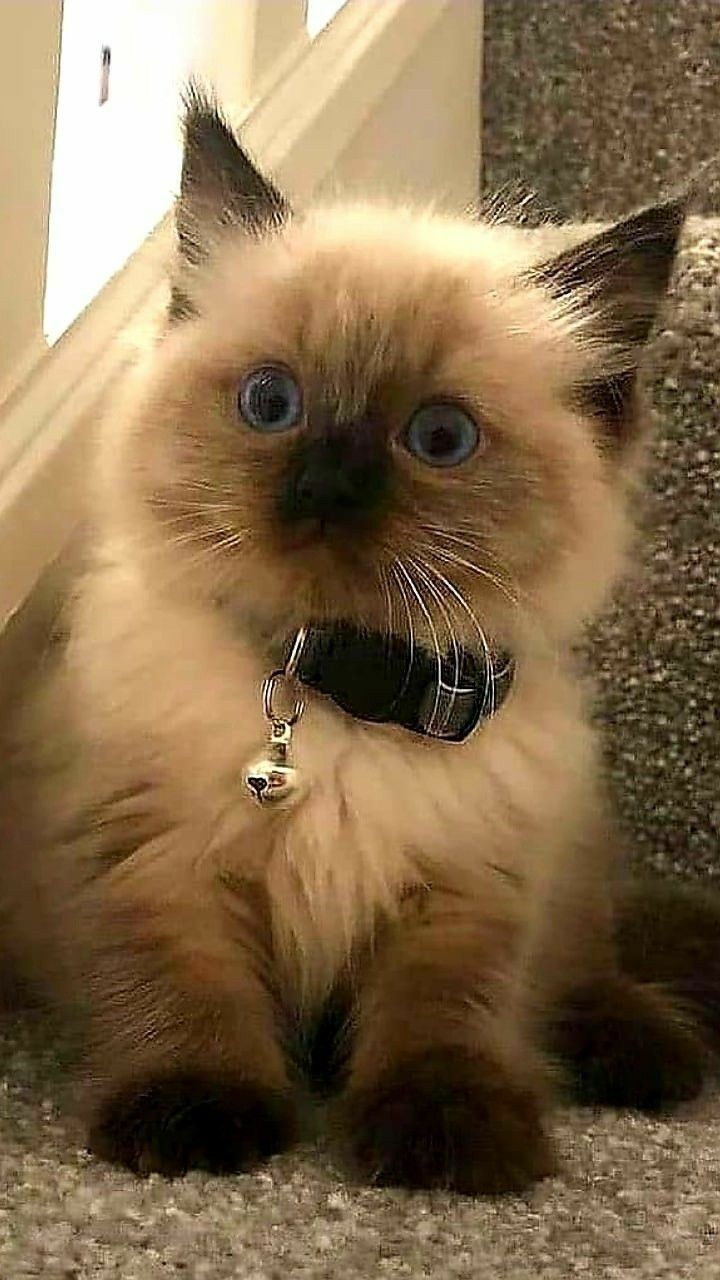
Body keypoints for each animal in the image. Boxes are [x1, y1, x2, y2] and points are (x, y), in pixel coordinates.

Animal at [0, 87, 712, 1187]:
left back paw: (644, 1047)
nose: (326, 485)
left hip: (572, 842)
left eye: (439, 438)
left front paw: (452, 1141)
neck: (337, 693)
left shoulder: (463, 897)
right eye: (271, 402)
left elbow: (442, 1022)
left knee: (587, 960)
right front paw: (194, 1121)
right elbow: (185, 994)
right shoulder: (156, 864)